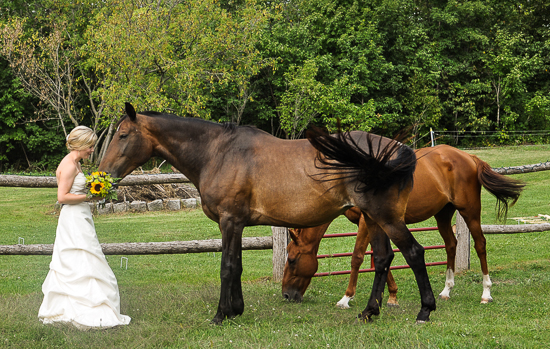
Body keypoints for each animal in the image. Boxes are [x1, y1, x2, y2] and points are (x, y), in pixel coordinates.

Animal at [99, 102, 436, 324]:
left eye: (123, 135)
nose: (103, 175)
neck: (218, 153)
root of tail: (398, 151)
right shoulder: (237, 224)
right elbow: (236, 266)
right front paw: (236, 309)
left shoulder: (229, 221)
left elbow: (227, 267)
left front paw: (221, 314)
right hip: (374, 219)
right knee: (383, 258)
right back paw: (369, 312)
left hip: (387, 218)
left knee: (414, 253)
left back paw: (425, 310)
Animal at [282, 144, 528, 308]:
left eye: (292, 259)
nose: (285, 295)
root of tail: (468, 156)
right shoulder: (378, 223)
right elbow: (380, 256)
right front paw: (391, 296)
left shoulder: (365, 222)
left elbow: (358, 257)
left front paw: (346, 297)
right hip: (443, 214)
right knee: (451, 245)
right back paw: (446, 290)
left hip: (470, 211)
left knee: (480, 244)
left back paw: (486, 293)